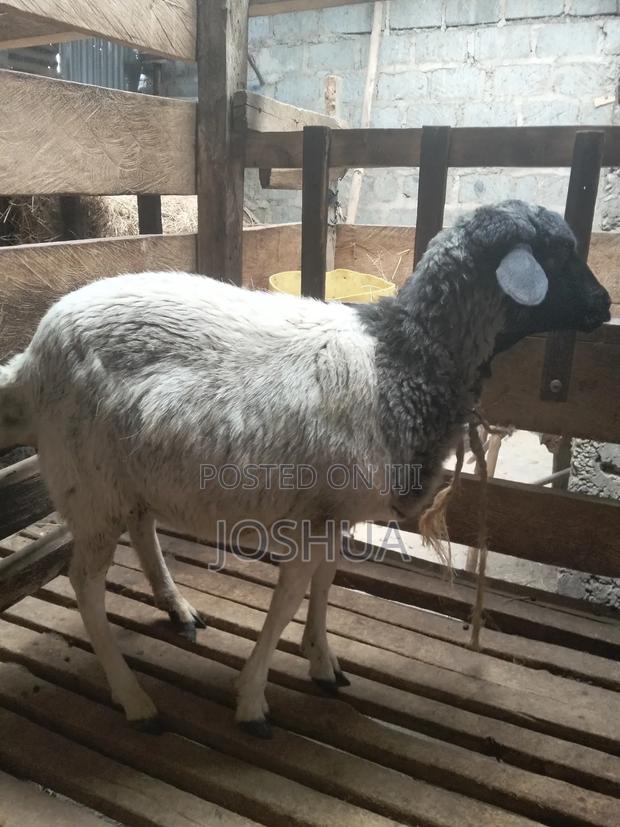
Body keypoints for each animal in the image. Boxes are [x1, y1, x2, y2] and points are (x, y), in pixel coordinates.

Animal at [0, 199, 610, 738]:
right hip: (88, 485)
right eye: (560, 254)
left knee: (143, 529)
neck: (404, 361)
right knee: (85, 583)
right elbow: (290, 599)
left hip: (126, 475)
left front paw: (323, 662)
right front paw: (252, 701)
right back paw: (134, 699)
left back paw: (178, 610)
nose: (605, 306)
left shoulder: (335, 514)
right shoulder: (313, 521)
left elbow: (325, 583)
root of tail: (30, 360)